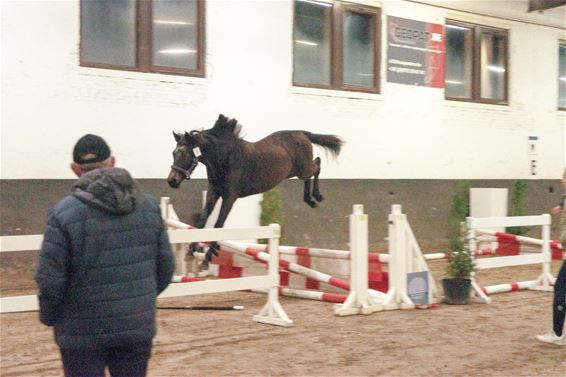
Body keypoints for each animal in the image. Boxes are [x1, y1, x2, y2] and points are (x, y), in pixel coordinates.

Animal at [168, 113, 346, 268]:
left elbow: (219, 224)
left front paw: (207, 258)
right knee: (313, 169)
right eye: (174, 153)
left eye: (185, 154)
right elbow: (202, 221)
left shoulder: (230, 197)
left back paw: (317, 197)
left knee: (317, 165)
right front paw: (190, 253)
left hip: (303, 169)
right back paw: (310, 200)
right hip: (295, 171)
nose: (172, 181)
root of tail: (302, 133)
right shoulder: (214, 192)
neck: (224, 158)